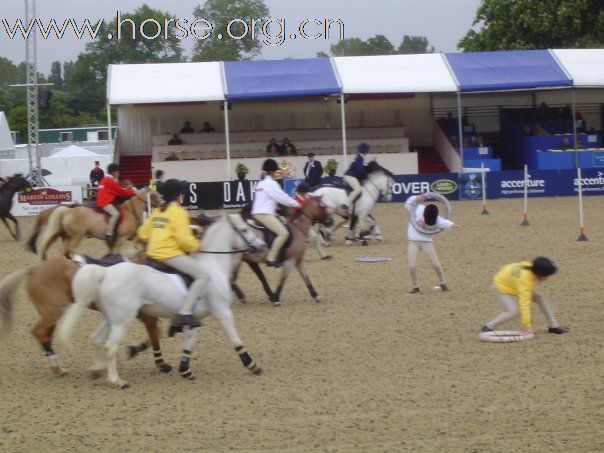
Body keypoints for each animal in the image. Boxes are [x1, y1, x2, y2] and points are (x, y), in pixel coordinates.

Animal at [0, 256, 172, 376]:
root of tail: (33, 270)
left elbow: (157, 335)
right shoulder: (147, 317)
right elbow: (155, 337)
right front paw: (162, 365)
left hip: (52, 314)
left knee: (45, 335)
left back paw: (58, 368)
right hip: (53, 311)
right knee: (40, 332)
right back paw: (57, 367)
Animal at [57, 214, 268, 386]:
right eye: (244, 230)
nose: (262, 246)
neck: (213, 267)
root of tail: (105, 272)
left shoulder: (194, 318)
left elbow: (189, 343)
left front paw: (185, 370)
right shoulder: (222, 312)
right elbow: (235, 339)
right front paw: (253, 366)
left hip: (111, 318)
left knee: (96, 339)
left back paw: (96, 371)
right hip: (121, 320)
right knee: (110, 346)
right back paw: (117, 381)